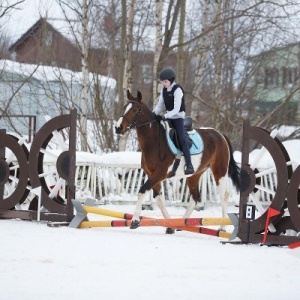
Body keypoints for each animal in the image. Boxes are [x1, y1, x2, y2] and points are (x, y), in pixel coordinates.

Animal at [114, 90, 239, 233]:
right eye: (125, 107)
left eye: (135, 110)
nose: (118, 127)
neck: (154, 142)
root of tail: (220, 135)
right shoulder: (153, 176)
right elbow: (159, 200)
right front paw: (170, 225)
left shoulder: (159, 174)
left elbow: (142, 191)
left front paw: (135, 221)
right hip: (195, 174)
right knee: (195, 197)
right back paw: (182, 223)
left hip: (219, 171)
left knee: (224, 196)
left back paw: (222, 227)